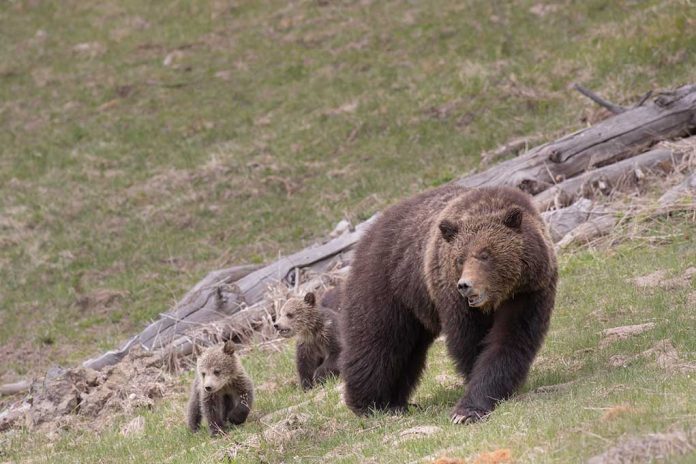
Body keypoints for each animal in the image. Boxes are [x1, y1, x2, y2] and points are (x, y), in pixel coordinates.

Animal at [340, 183, 556, 422]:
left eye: (485, 254)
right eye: (460, 259)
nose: (465, 285)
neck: (499, 295)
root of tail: (369, 231)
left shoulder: (529, 292)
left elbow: (511, 339)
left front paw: (473, 405)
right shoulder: (455, 300)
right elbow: (470, 344)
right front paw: (467, 409)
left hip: (416, 307)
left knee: (407, 351)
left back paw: (395, 402)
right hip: (387, 284)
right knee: (378, 341)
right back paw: (370, 404)